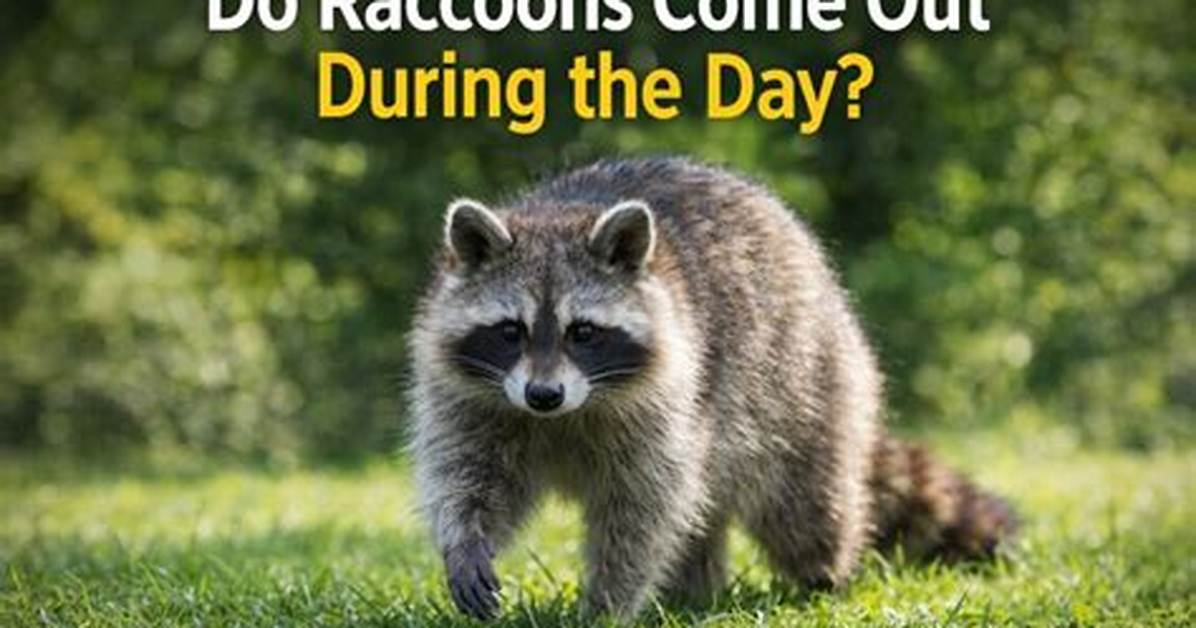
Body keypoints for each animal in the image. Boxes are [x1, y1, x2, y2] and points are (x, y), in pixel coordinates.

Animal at [407, 157, 1017, 621]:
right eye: (511, 330)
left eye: (583, 332)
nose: (543, 395)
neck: (565, 417)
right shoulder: (468, 398)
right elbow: (468, 476)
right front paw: (464, 543)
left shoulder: (669, 400)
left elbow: (643, 508)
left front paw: (608, 602)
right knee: (702, 511)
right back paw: (693, 590)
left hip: (806, 383)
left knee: (806, 510)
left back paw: (825, 575)